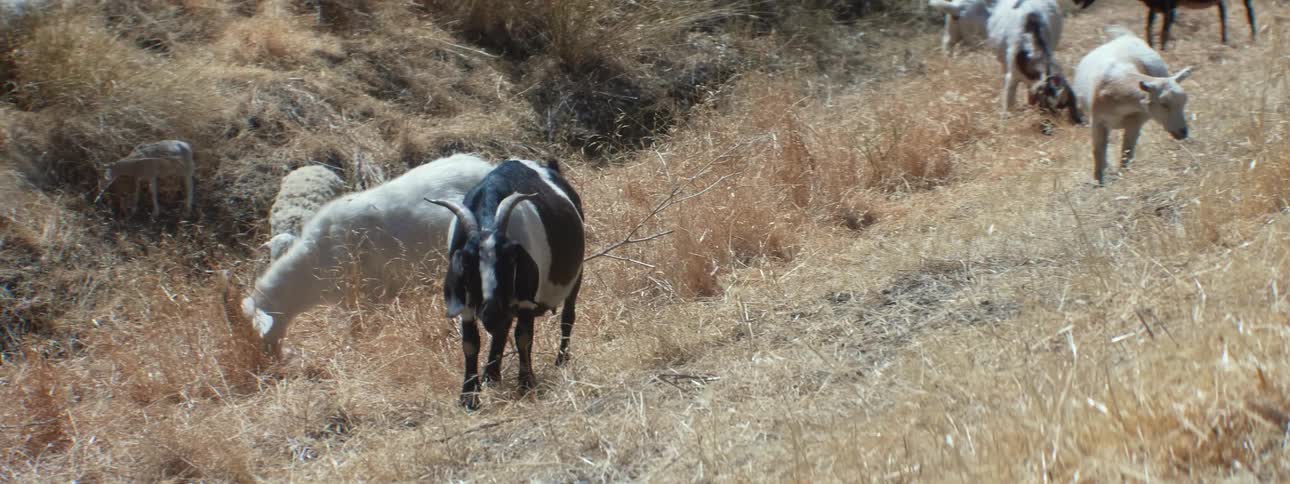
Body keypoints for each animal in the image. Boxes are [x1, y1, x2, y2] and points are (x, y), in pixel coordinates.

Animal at [427, 159, 585, 410]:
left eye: (511, 259)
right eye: (468, 264)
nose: (492, 312)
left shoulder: (525, 300)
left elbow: (523, 337)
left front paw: (526, 383)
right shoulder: (468, 305)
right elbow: (470, 344)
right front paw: (469, 396)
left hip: (576, 275)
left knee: (567, 317)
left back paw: (561, 360)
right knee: (501, 331)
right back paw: (491, 376)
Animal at [1072, 27, 1194, 184]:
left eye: (1184, 102)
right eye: (1163, 104)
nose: (1183, 132)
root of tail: (1125, 36)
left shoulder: (1135, 121)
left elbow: (1127, 151)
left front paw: (1124, 175)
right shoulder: (1097, 122)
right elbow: (1098, 150)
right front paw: (1099, 180)